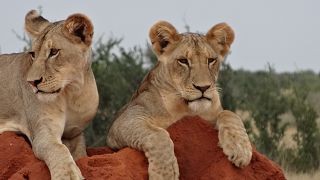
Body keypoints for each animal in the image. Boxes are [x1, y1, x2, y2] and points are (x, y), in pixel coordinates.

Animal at [0, 10, 99, 180]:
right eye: (33, 54)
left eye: (53, 52)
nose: (32, 82)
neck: (72, 93)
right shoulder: (43, 132)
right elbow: (58, 149)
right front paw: (69, 175)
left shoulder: (74, 133)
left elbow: (81, 154)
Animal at [107, 20, 252, 179]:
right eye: (183, 61)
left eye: (211, 60)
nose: (203, 87)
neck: (186, 107)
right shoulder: (123, 120)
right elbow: (158, 135)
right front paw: (165, 175)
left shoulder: (210, 115)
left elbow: (230, 114)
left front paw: (241, 150)